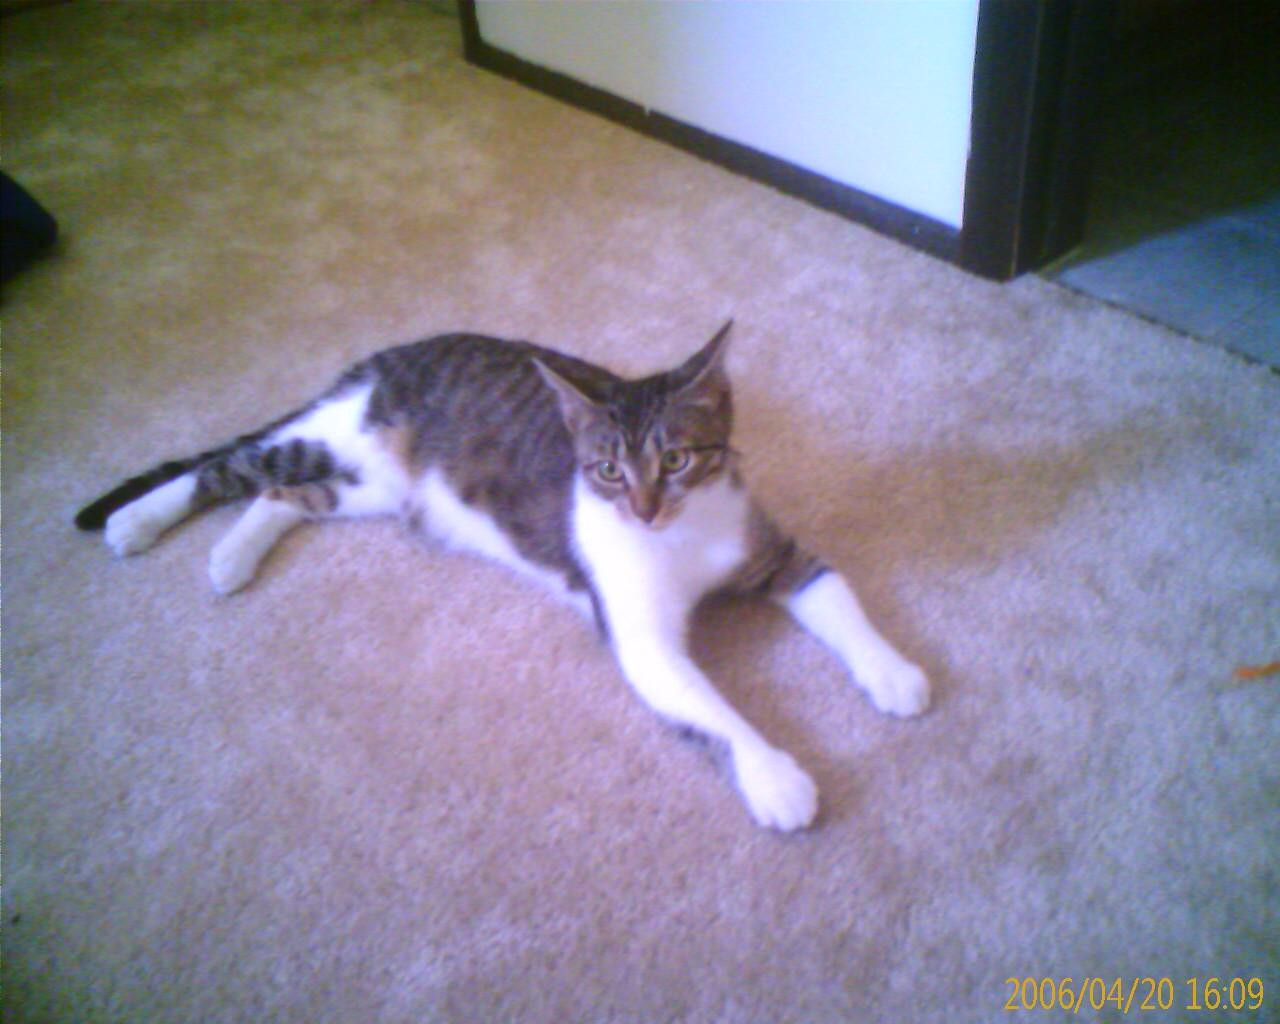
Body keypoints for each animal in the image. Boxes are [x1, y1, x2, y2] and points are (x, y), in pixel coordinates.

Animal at [74, 323, 926, 829]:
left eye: (680, 459)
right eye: (607, 471)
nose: (644, 509)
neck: (680, 536)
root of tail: (392, 354)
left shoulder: (769, 549)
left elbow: (837, 595)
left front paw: (891, 671)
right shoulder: (640, 635)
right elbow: (711, 709)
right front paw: (773, 774)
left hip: (377, 486)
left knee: (284, 496)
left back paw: (233, 554)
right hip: (335, 435)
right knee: (228, 468)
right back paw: (139, 520)